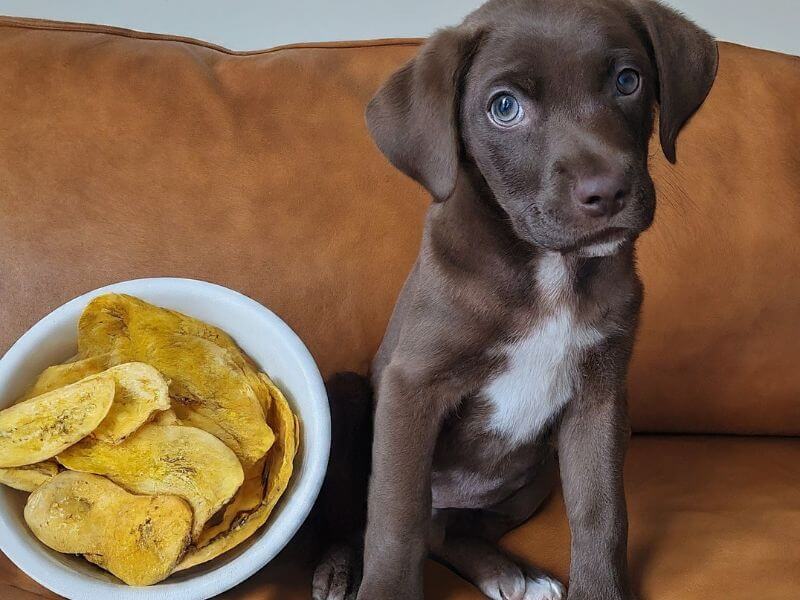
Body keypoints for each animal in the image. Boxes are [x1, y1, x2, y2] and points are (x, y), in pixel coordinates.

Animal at [314, 1, 720, 600]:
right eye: (504, 107)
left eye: (628, 81)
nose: (607, 192)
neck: (549, 268)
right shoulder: (412, 387)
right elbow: (395, 518)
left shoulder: (601, 399)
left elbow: (601, 514)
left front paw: (599, 590)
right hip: (348, 396)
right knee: (380, 522)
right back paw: (337, 568)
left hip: (539, 470)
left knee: (449, 533)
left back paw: (509, 573)